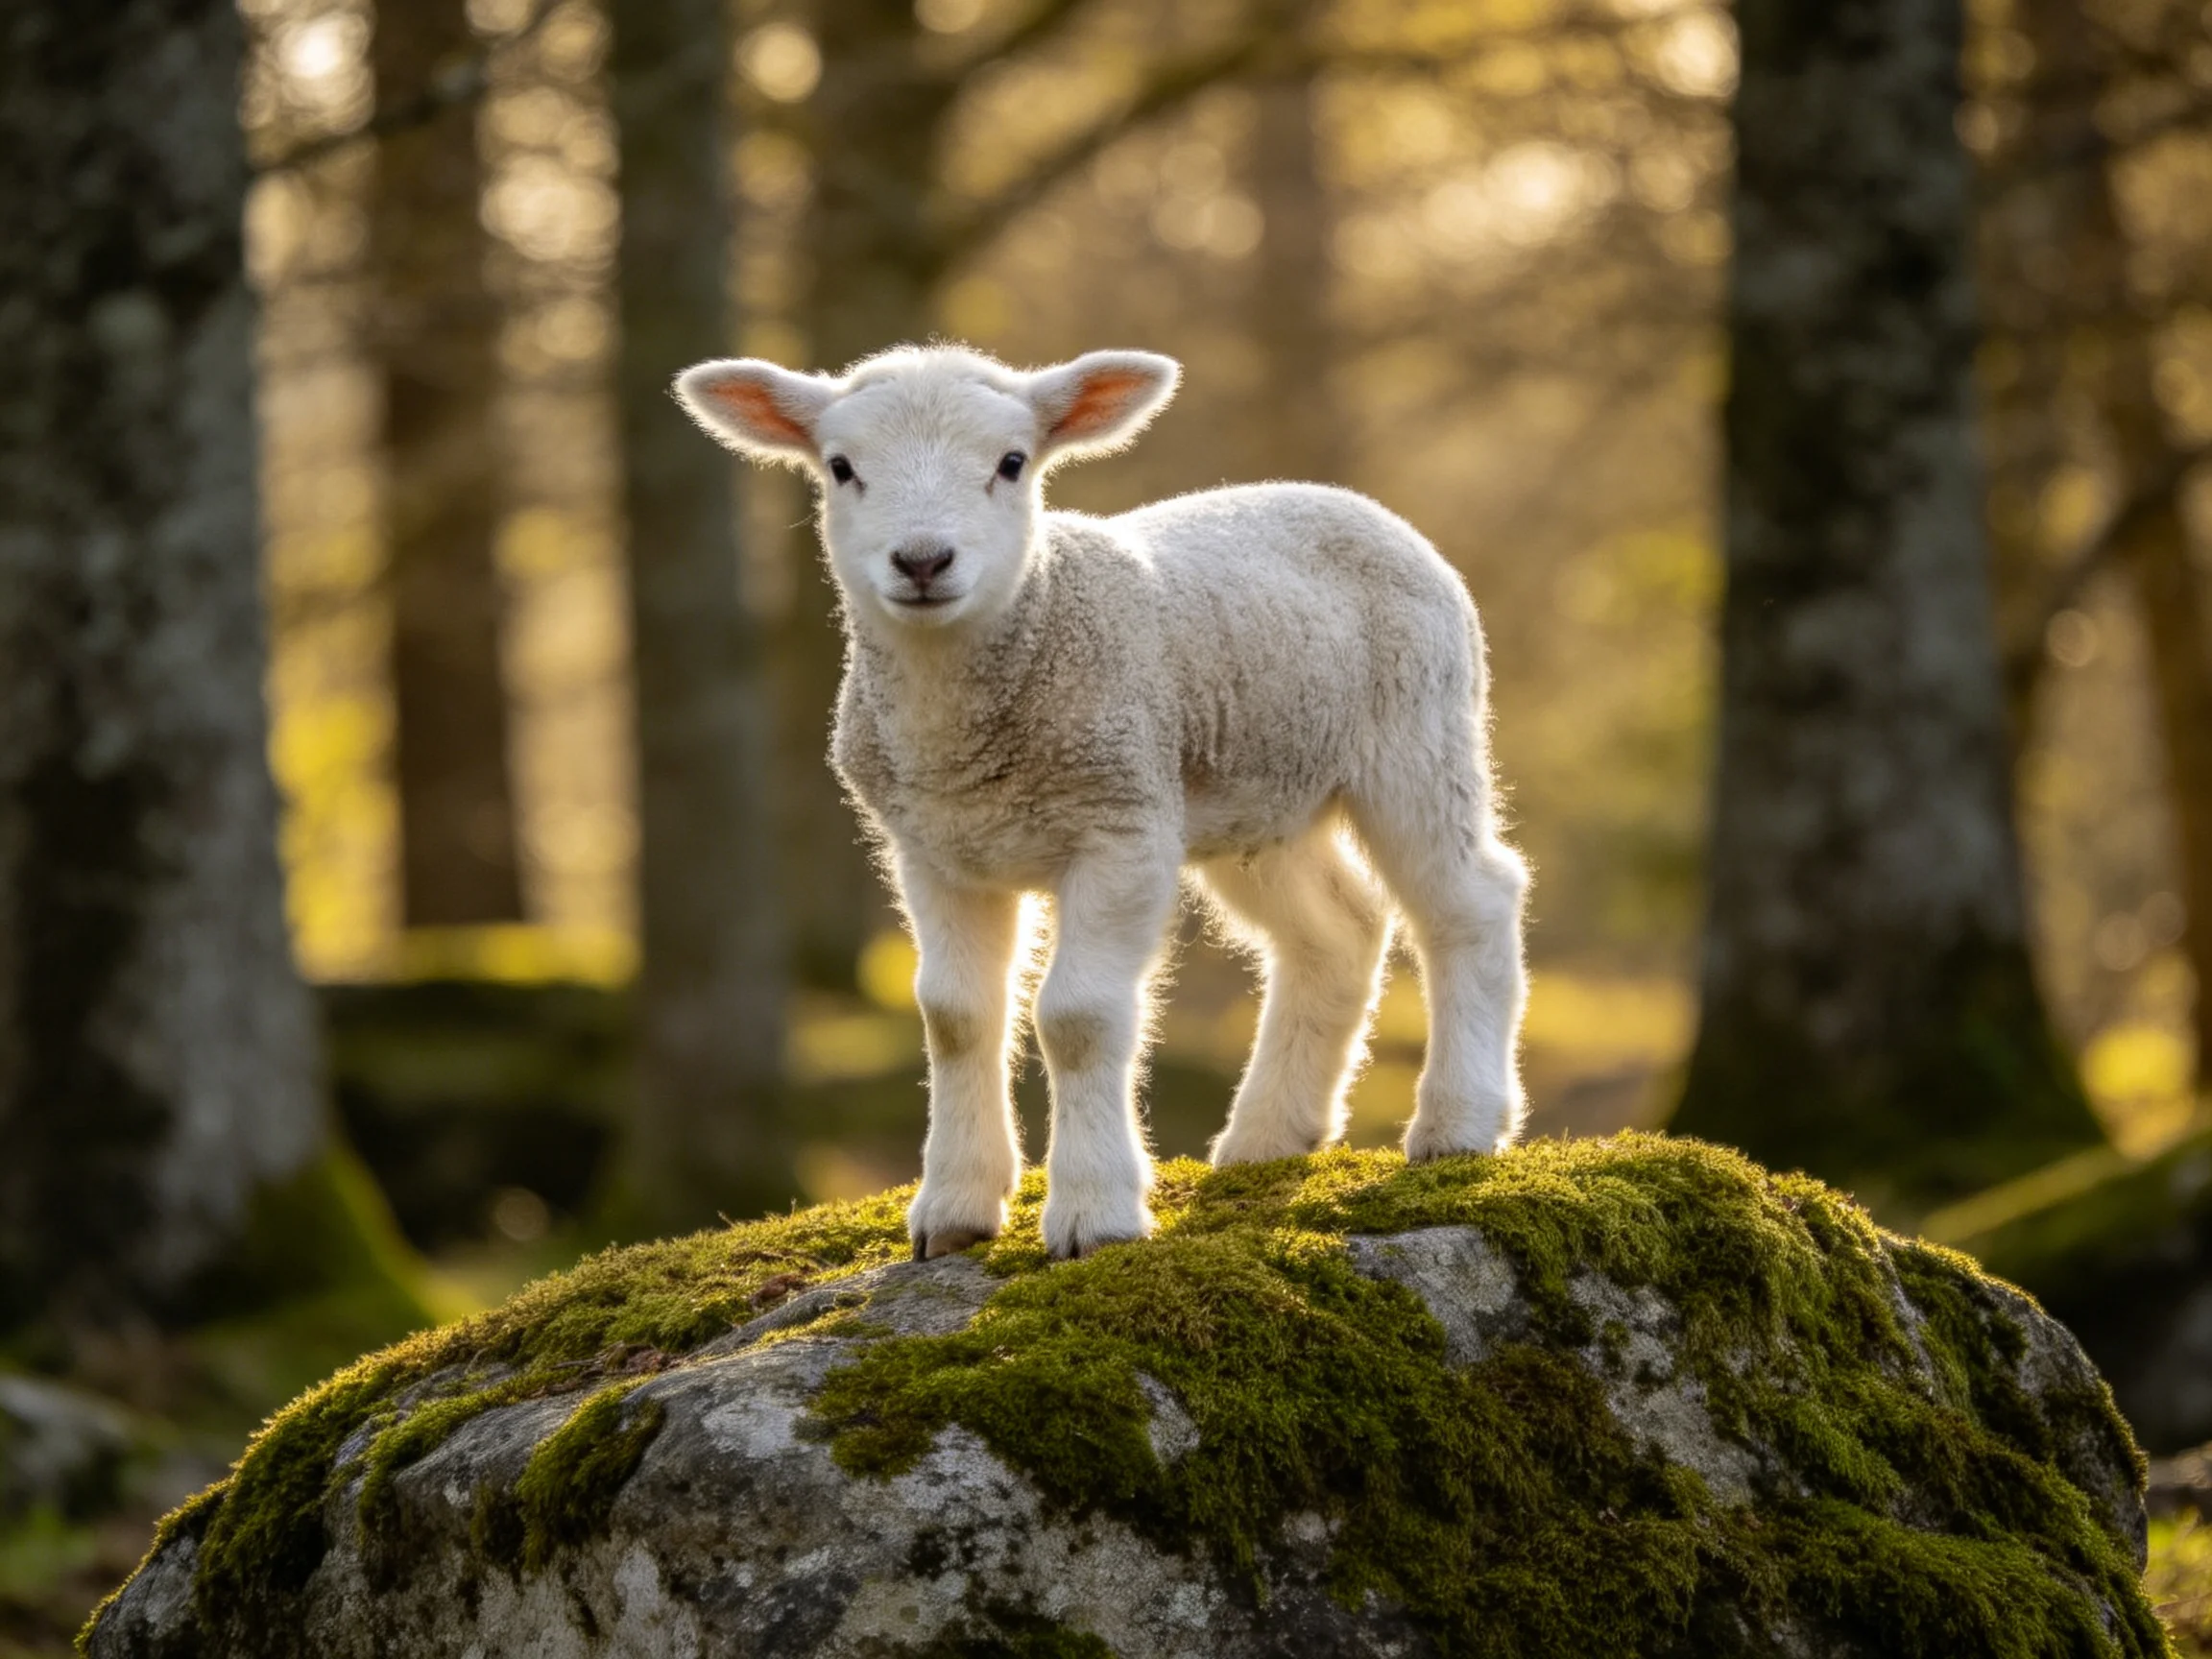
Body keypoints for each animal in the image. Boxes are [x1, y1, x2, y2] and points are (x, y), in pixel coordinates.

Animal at [675, 345, 1529, 1262]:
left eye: (1012, 463)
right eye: (840, 467)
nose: (923, 561)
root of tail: (1345, 500)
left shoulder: (1120, 828)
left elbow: (1077, 1017)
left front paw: (1094, 1214)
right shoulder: (935, 850)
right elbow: (954, 1017)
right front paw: (954, 1210)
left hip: (1416, 733)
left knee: (1470, 902)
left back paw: (1459, 1123)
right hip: (1252, 798)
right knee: (1338, 931)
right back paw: (1267, 1138)